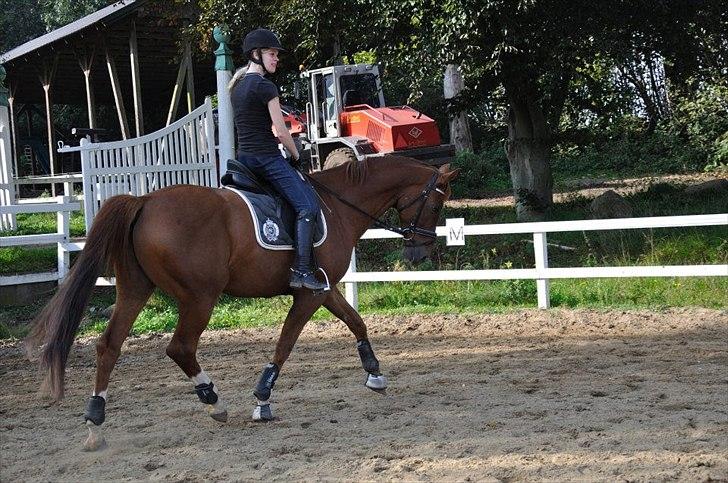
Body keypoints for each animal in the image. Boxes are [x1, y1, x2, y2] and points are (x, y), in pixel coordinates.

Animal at [29, 156, 460, 450]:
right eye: (437, 205)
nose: (421, 253)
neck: (337, 206)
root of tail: (145, 200)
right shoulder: (310, 293)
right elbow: (285, 344)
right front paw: (262, 399)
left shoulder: (325, 289)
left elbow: (356, 321)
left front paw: (374, 373)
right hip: (200, 296)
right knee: (180, 347)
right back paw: (213, 401)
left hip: (136, 289)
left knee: (109, 346)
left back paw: (95, 422)